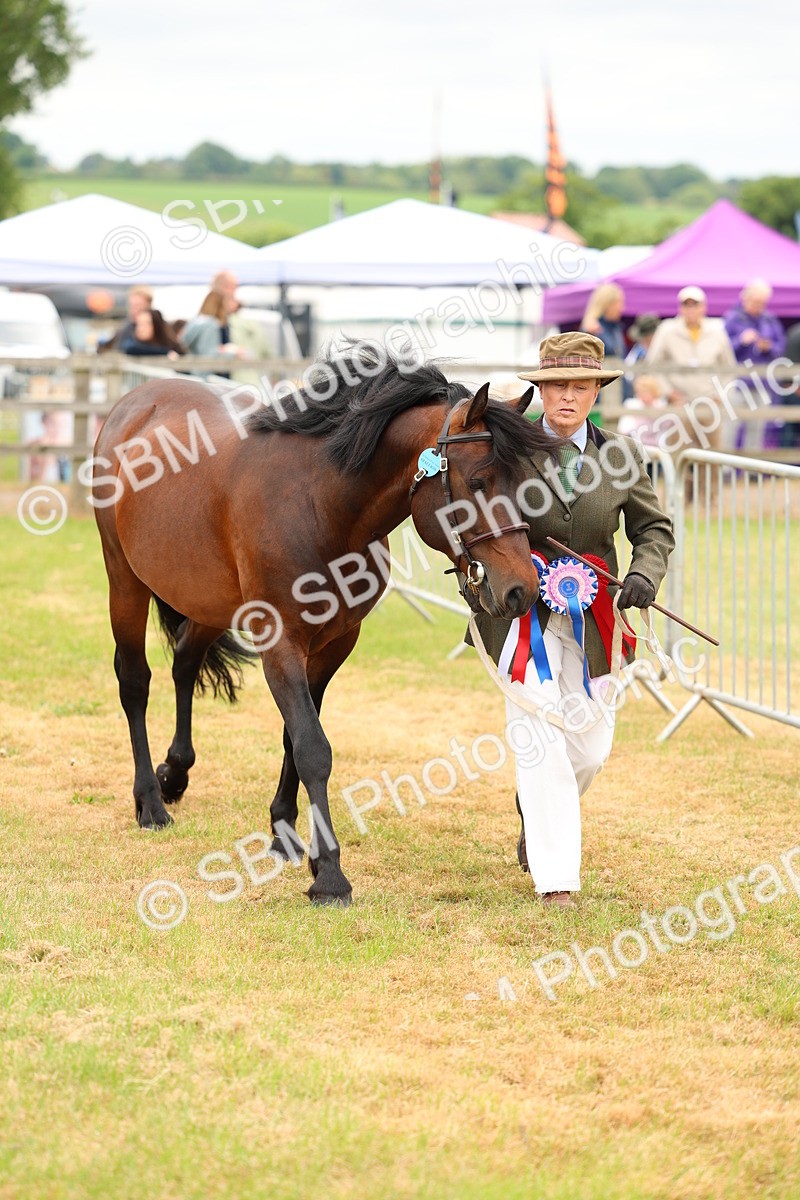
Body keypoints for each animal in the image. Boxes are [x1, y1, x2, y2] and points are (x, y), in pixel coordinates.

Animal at [92, 342, 556, 904]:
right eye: (478, 482)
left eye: (526, 482)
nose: (521, 590)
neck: (322, 504)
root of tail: (136, 400)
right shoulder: (281, 643)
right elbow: (313, 747)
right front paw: (330, 874)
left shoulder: (333, 644)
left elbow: (295, 736)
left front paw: (287, 835)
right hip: (125, 580)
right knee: (135, 682)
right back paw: (150, 803)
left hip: (208, 600)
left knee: (185, 662)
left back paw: (174, 775)